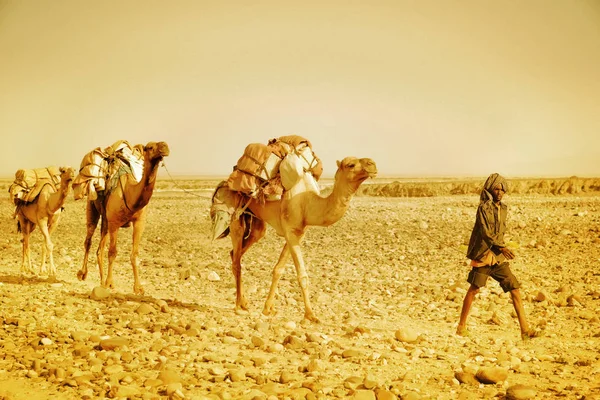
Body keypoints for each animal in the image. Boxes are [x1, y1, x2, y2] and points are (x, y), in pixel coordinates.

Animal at [76, 141, 169, 294]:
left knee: (100, 249)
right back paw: (83, 274)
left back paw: (101, 281)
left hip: (105, 220)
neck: (129, 193)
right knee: (88, 240)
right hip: (92, 205)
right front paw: (109, 283)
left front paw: (138, 287)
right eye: (149, 147)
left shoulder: (139, 222)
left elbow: (134, 254)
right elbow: (112, 252)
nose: (164, 147)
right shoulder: (115, 223)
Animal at [213, 156, 378, 322]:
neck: (307, 203)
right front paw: (310, 315)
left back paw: (244, 301)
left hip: (256, 223)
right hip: (235, 215)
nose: (372, 164)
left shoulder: (297, 233)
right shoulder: (291, 232)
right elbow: (302, 275)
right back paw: (238, 305)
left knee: (237, 251)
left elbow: (278, 269)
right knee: (237, 259)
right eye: (351, 165)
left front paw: (268, 308)